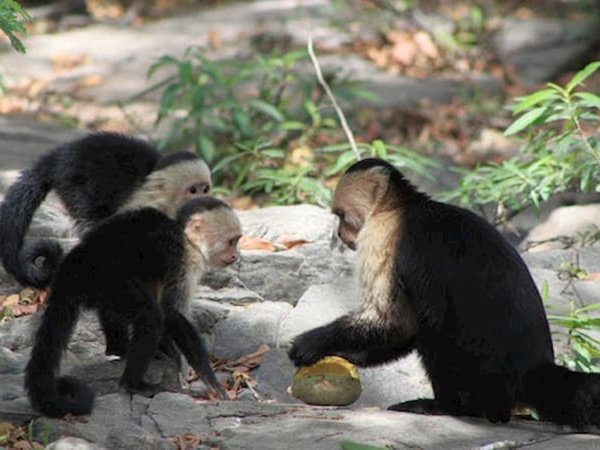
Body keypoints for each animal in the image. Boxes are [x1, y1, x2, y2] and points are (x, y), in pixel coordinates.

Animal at [0, 132, 212, 290]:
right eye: (193, 190)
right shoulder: (142, 207)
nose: (203, 200)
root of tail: (60, 154)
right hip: (74, 180)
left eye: (205, 189)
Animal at [25, 197, 241, 418]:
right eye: (231, 241)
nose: (236, 256)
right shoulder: (186, 260)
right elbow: (171, 312)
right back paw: (133, 384)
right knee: (150, 316)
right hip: (107, 281)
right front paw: (208, 379)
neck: (187, 238)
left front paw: (167, 351)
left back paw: (119, 349)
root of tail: (70, 267)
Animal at [288, 157, 600, 428]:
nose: (341, 235)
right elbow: (402, 329)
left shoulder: (381, 236)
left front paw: (314, 343)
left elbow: (394, 321)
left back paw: (448, 407)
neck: (400, 207)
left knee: (434, 330)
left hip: (484, 376)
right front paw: (347, 354)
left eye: (342, 217)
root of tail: (534, 370)